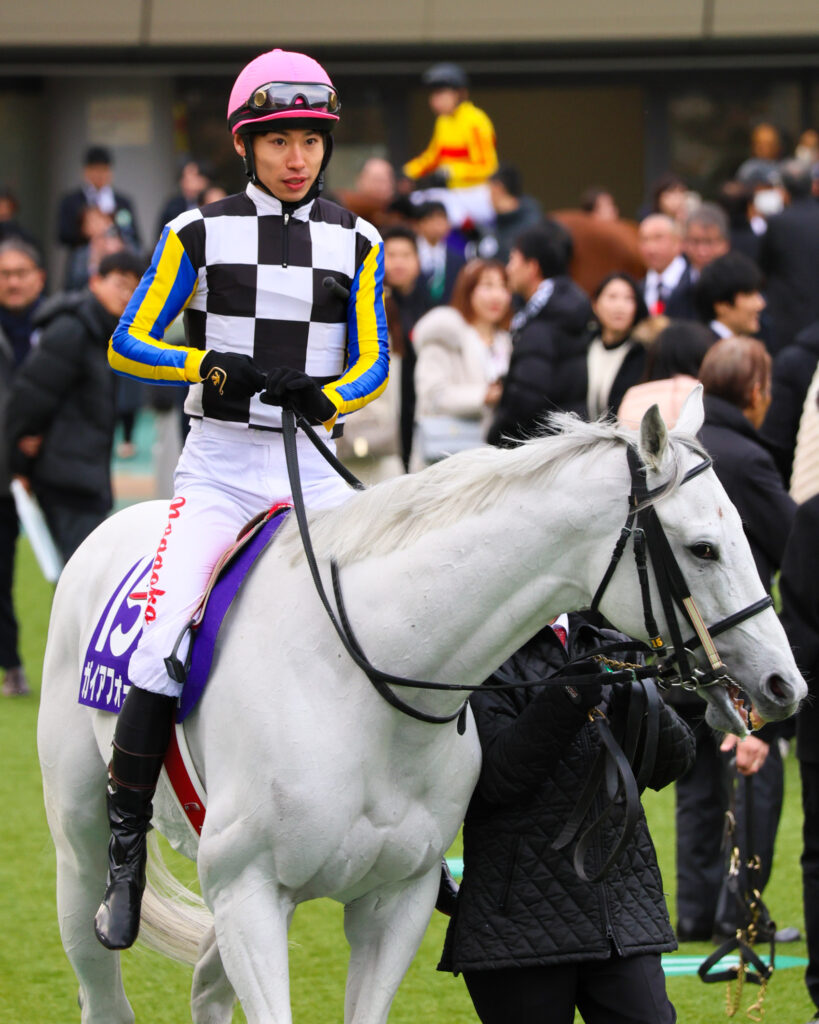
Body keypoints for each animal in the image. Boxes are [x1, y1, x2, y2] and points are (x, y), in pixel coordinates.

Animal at [38, 390, 806, 1024]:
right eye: (702, 548)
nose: (784, 685)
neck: (361, 687)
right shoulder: (250, 894)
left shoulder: (392, 903)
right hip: (83, 857)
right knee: (101, 986)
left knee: (204, 988)